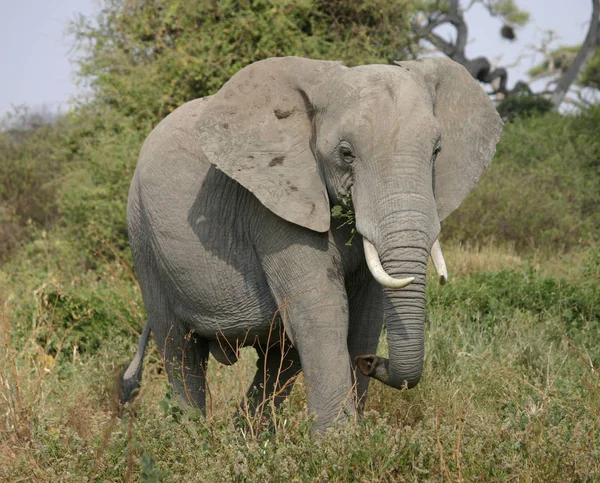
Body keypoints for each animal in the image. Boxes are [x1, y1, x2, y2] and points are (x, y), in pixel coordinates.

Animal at [118, 54, 502, 432]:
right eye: (346, 153)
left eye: (437, 151)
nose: (370, 362)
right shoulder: (275, 204)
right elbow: (322, 312)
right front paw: (339, 445)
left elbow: (364, 319)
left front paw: (357, 436)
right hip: (143, 236)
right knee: (178, 347)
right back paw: (192, 435)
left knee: (280, 358)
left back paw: (249, 434)